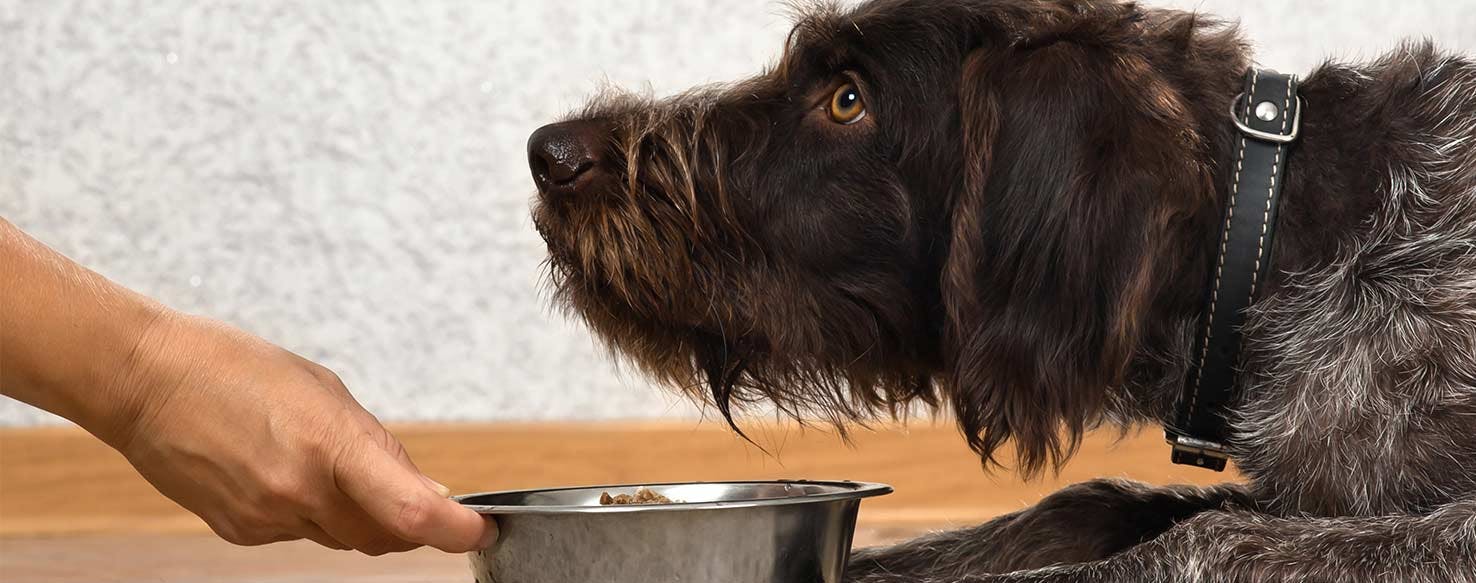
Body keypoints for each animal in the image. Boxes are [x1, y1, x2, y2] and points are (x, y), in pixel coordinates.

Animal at [525, 1, 1476, 578]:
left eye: (847, 99)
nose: (549, 152)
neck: (1275, 232)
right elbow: (1086, 502)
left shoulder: (1427, 530)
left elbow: (1208, 539)